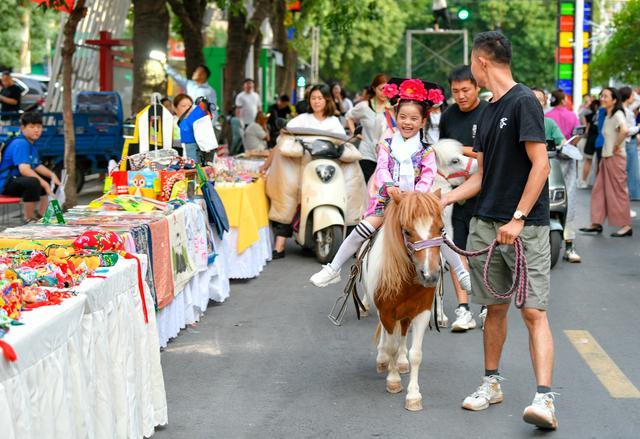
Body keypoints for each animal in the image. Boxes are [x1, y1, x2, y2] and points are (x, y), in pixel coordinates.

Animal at [360, 192, 444, 412]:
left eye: (442, 229)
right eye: (406, 231)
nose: (430, 275)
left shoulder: (422, 312)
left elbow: (416, 354)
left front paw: (413, 395)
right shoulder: (387, 311)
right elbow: (390, 346)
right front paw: (393, 380)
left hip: (406, 314)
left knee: (403, 334)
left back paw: (402, 361)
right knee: (387, 336)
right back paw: (383, 360)